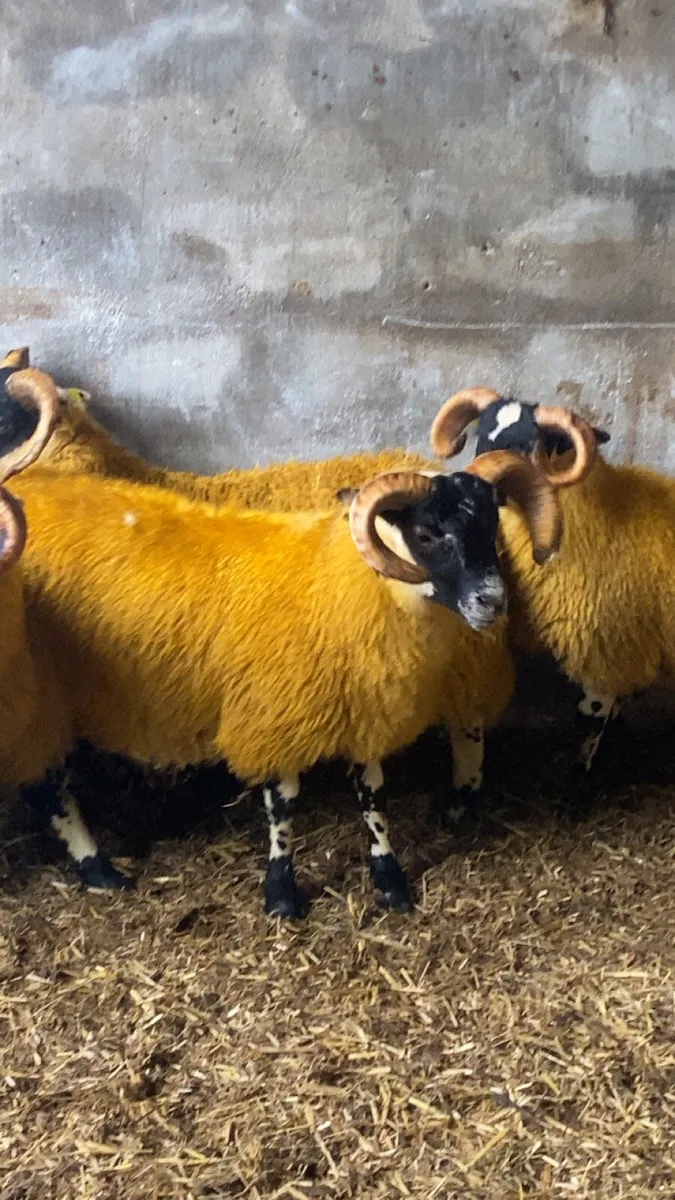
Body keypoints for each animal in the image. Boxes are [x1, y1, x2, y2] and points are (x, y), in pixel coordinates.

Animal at [8, 448, 561, 916]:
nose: (492, 601)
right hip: (35, 688)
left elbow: (372, 795)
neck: (340, 583)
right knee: (48, 785)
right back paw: (98, 868)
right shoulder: (275, 712)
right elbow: (283, 805)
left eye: (492, 523)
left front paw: (389, 879)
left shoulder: (363, 706)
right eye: (427, 533)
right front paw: (281, 893)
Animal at [430, 387, 675, 801]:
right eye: (482, 432)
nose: (474, 481)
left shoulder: (608, 646)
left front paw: (581, 783)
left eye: (528, 443)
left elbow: (590, 720)